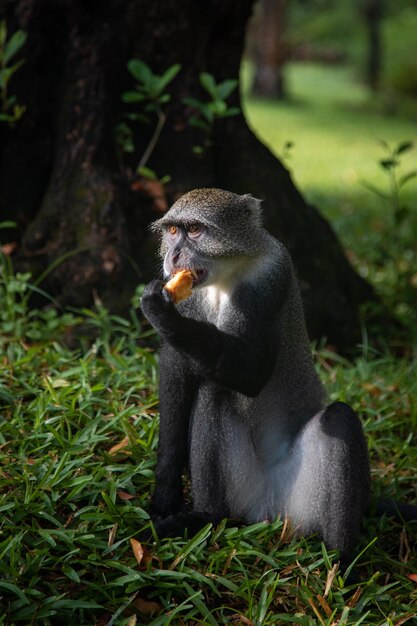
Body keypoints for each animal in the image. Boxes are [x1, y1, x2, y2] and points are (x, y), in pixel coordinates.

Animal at [141, 188, 414, 564]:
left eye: (194, 230)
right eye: (171, 232)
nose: (174, 255)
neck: (224, 276)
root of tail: (269, 511)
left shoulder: (270, 278)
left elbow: (253, 372)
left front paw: (160, 312)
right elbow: (175, 370)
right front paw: (165, 497)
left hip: (304, 499)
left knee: (340, 418)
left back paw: (342, 564)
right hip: (244, 490)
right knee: (214, 394)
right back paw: (206, 516)